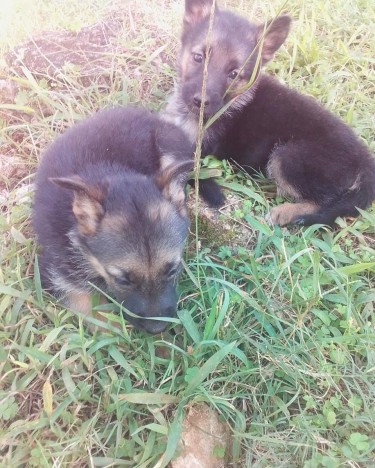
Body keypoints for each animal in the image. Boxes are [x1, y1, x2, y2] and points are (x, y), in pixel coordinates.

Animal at [165, 0, 375, 227]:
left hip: (287, 156)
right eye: (198, 57)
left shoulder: (198, 149)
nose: (201, 102)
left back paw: (286, 212)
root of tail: (365, 160)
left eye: (234, 74)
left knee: (323, 204)